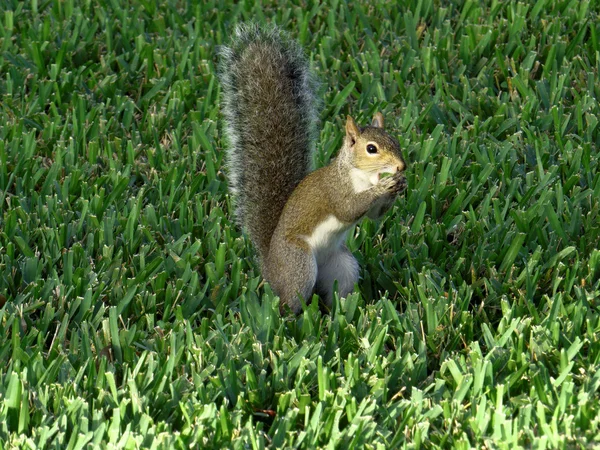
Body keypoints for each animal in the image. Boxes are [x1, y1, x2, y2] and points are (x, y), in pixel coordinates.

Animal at [218, 23, 406, 312]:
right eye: (371, 149)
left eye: (395, 141)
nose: (401, 165)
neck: (362, 176)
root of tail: (269, 265)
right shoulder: (335, 190)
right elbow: (348, 208)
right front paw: (384, 186)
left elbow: (375, 215)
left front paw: (398, 186)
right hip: (299, 264)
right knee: (290, 299)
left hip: (342, 265)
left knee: (338, 290)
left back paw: (341, 313)